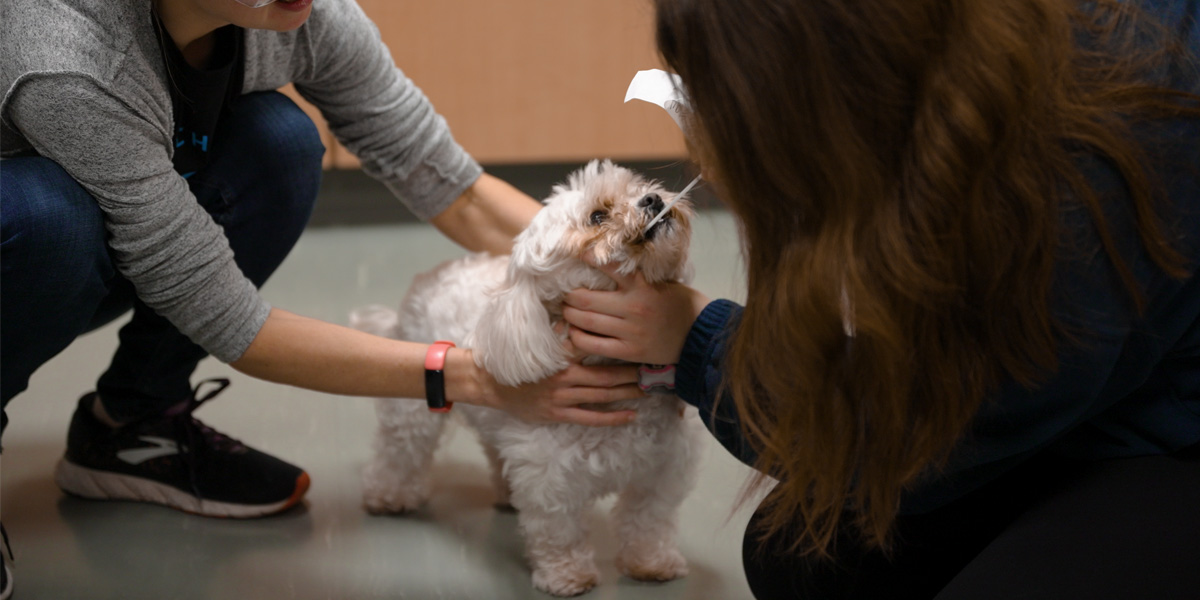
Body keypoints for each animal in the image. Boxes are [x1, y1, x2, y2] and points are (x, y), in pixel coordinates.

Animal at [350, 159, 700, 595]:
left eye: (636, 187)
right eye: (597, 216)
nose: (652, 198)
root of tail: (433, 273)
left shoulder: (663, 469)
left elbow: (648, 522)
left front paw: (652, 563)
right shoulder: (550, 480)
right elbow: (560, 533)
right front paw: (568, 576)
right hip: (412, 411)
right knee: (399, 451)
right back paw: (389, 495)